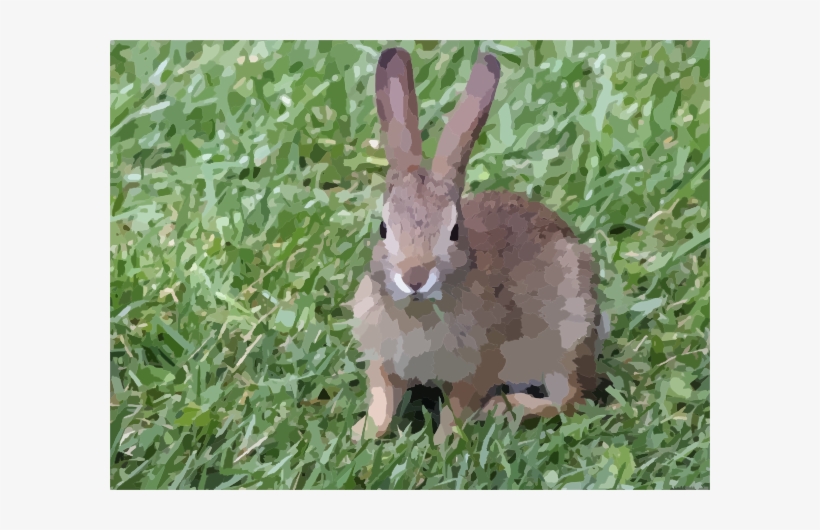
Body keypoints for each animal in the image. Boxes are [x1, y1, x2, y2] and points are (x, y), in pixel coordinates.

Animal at [349, 47, 604, 444]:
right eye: (383, 228)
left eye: (454, 231)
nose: (415, 277)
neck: (418, 313)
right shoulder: (385, 360)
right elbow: (383, 398)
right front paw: (364, 433)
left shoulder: (479, 367)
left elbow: (458, 407)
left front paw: (443, 442)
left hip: (567, 342)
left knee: (570, 400)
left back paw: (502, 408)